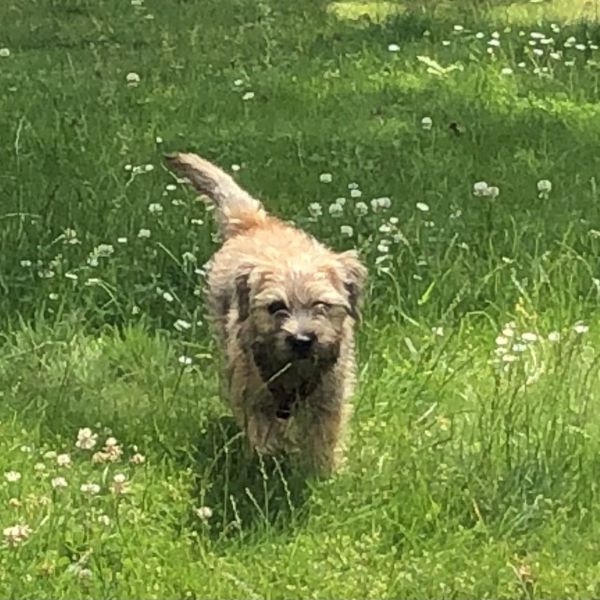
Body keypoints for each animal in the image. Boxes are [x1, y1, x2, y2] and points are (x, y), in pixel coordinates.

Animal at [166, 151, 368, 474]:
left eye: (321, 306)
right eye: (276, 307)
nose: (302, 340)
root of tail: (256, 225)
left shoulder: (329, 401)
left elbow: (323, 439)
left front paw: (322, 474)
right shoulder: (252, 395)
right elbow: (263, 434)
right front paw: (270, 461)